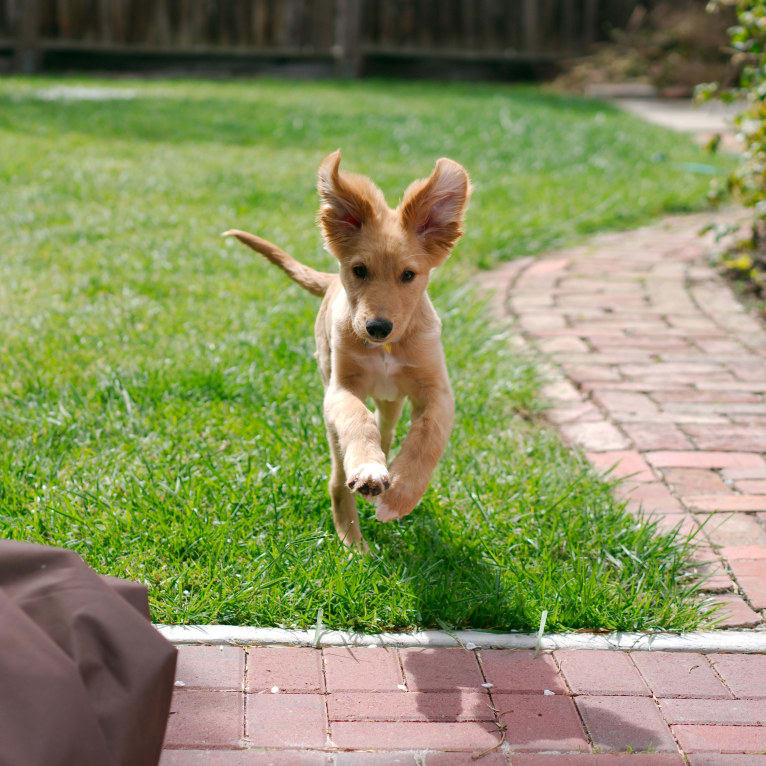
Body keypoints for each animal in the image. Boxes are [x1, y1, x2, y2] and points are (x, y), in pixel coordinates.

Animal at [225, 153, 472, 552]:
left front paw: (399, 495)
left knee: (386, 430)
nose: (378, 327)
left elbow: (426, 438)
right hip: (331, 406)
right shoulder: (341, 388)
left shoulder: (437, 391)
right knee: (339, 477)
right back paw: (354, 542)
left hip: (392, 401)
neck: (386, 348)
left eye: (408, 275)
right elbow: (357, 419)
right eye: (359, 270)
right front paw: (370, 473)